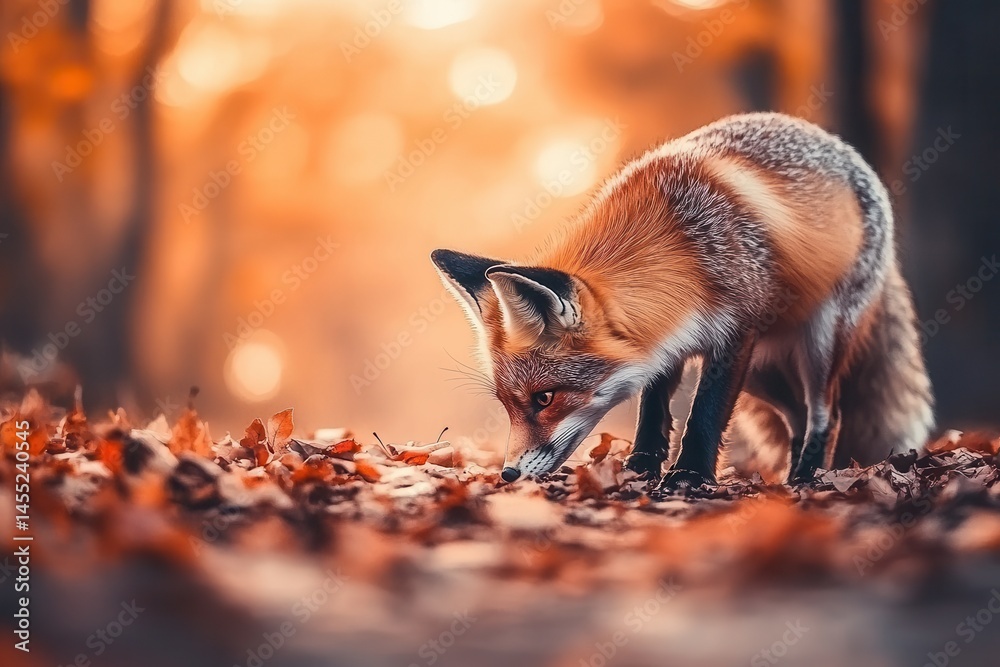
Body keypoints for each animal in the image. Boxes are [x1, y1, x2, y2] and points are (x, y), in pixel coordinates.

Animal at [431, 112, 934, 491]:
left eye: (545, 398)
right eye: (506, 403)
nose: (509, 474)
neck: (684, 248)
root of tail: (835, 143)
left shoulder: (734, 333)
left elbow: (705, 413)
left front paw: (689, 475)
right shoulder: (664, 341)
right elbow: (653, 410)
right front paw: (640, 469)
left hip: (815, 342)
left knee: (827, 412)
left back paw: (808, 477)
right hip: (763, 372)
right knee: (798, 416)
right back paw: (792, 473)